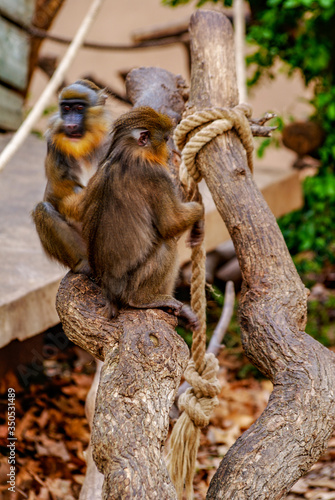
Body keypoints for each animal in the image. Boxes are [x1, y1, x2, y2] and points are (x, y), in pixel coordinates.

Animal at [79, 106, 205, 326]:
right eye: (165, 139)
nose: (168, 153)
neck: (127, 152)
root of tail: (110, 294)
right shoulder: (156, 176)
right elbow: (170, 224)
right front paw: (199, 215)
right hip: (130, 286)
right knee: (166, 244)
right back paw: (142, 300)